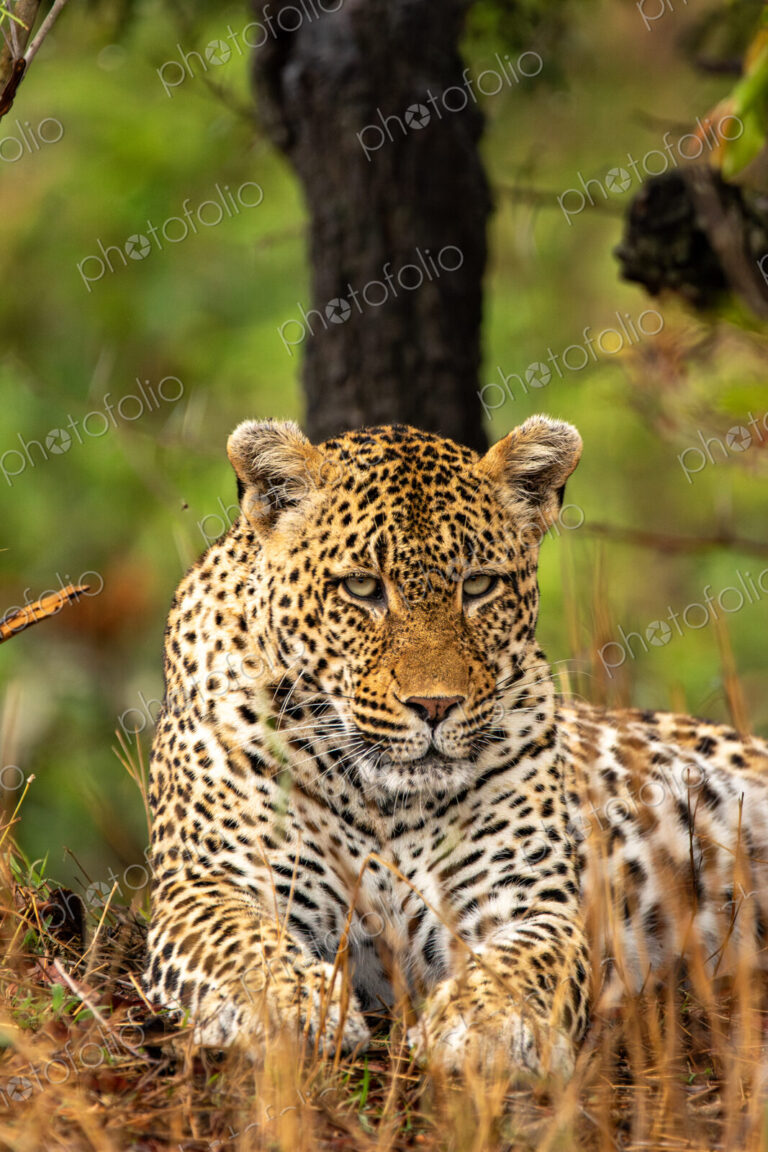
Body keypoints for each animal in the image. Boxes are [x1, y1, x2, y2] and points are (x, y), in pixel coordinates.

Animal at [144, 415, 768, 1079]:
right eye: (362, 587)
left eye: (479, 585)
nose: (436, 705)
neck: (384, 803)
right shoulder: (207, 885)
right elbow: (244, 945)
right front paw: (290, 1007)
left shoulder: (528, 905)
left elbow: (520, 962)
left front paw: (486, 1024)